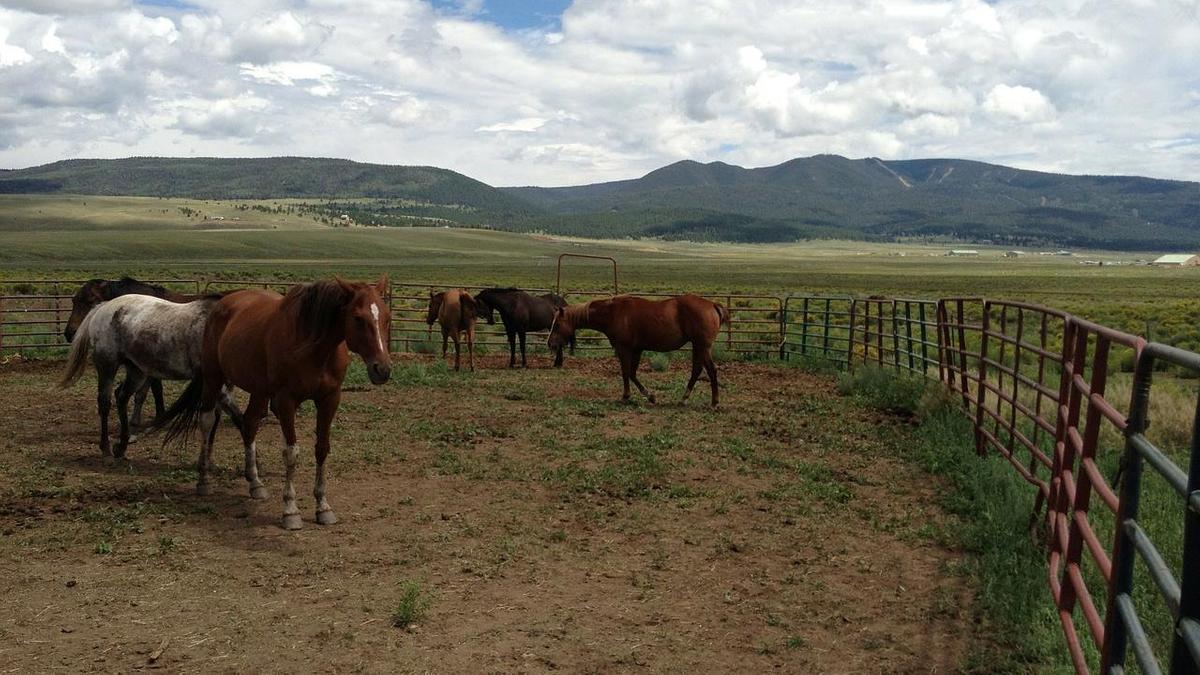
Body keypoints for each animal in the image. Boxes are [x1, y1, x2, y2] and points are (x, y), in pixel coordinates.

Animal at [57, 294, 241, 456]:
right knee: (104, 403)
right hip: (107, 366)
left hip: (137, 371)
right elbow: (238, 418)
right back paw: (107, 448)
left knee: (122, 397)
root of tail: (103, 307)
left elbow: (217, 419)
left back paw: (122, 446)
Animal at [153, 276, 388, 528]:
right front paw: (290, 510)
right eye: (358, 318)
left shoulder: (329, 399)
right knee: (206, 421)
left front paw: (323, 506)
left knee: (249, 424)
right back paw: (204, 480)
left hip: (258, 390)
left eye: (387, 315)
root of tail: (222, 303)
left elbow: (322, 448)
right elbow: (291, 453)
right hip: (213, 377)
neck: (313, 346)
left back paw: (255, 483)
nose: (382, 369)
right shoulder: (285, 401)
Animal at [547, 293, 729, 403]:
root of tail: (712, 305)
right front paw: (650, 396)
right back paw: (689, 399)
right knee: (700, 370)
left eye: (557, 325)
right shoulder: (637, 350)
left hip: (702, 346)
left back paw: (709, 401)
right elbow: (632, 373)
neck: (613, 313)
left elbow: (626, 372)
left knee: (708, 370)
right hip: (699, 347)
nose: (550, 343)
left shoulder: (624, 349)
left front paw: (627, 396)